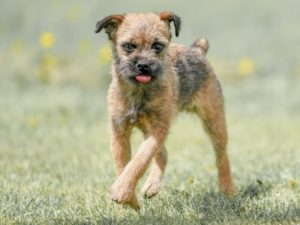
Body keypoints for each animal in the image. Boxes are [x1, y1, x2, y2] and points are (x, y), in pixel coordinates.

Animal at [95, 11, 236, 209]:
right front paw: (129, 200)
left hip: (214, 121)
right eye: (129, 46)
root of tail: (197, 50)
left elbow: (140, 160)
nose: (143, 65)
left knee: (221, 156)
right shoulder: (119, 131)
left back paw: (228, 189)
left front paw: (122, 191)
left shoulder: (158, 129)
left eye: (157, 46)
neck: (139, 92)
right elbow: (124, 164)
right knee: (163, 154)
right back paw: (152, 186)